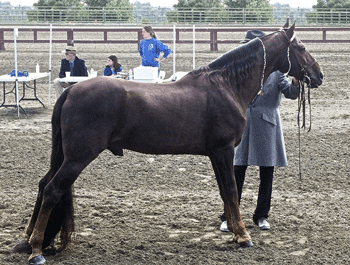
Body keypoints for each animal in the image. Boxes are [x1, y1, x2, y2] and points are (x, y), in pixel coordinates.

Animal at [15, 22, 322, 264]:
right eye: (302, 47)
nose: (318, 75)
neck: (226, 85)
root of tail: (72, 91)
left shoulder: (216, 154)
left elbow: (226, 193)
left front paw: (236, 233)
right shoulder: (223, 151)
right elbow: (232, 192)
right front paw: (243, 236)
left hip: (67, 156)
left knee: (43, 184)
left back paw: (28, 240)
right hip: (78, 157)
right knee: (52, 190)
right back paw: (36, 251)